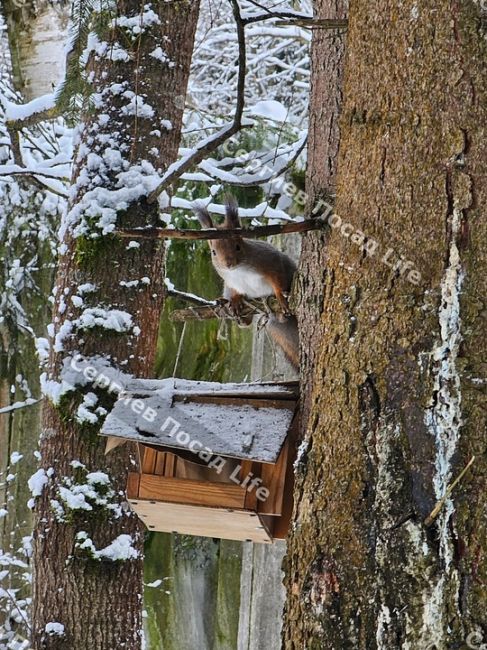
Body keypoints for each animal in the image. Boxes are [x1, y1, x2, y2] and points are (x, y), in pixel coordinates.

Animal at [195, 195, 302, 370]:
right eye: (213, 252)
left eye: (238, 246)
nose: (228, 264)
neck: (238, 271)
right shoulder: (230, 283)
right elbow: (235, 292)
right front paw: (235, 300)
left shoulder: (271, 262)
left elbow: (278, 279)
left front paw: (280, 296)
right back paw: (232, 309)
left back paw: (280, 313)